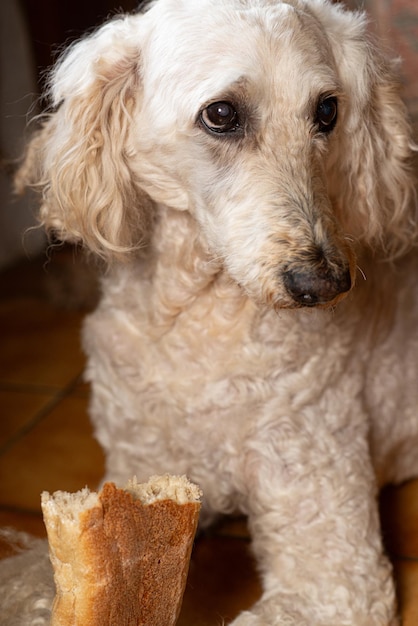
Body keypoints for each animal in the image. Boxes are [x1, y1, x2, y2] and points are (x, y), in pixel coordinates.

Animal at [7, 0, 418, 620]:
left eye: (327, 111)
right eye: (221, 114)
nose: (324, 283)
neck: (195, 323)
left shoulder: (333, 580)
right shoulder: (136, 471)